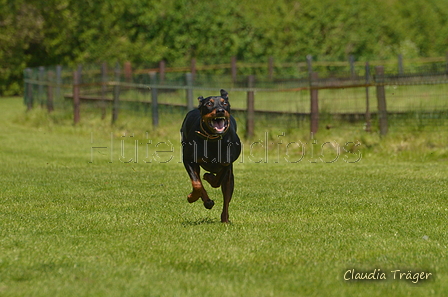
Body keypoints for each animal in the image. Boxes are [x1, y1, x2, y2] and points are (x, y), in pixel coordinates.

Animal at [180, 88, 242, 222]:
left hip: (230, 178)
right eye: (209, 104)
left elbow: (217, 181)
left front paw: (209, 177)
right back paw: (207, 201)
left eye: (225, 103)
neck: (213, 140)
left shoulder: (226, 163)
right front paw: (192, 197)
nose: (220, 110)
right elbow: (197, 183)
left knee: (227, 195)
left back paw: (225, 219)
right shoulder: (189, 160)